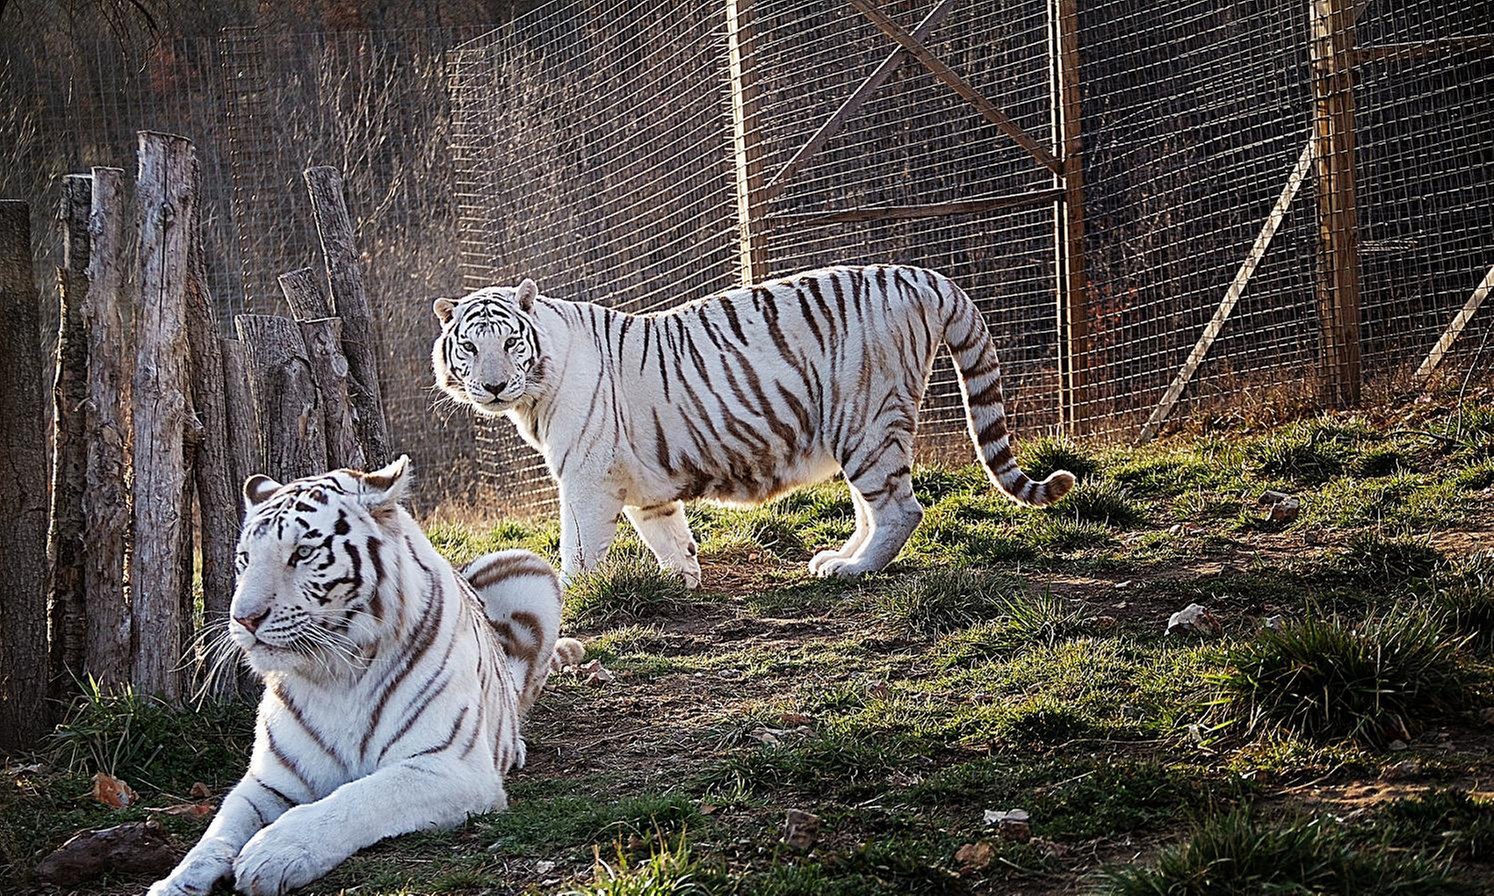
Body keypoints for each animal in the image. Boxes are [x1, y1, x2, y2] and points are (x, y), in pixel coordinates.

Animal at [149, 456, 581, 896]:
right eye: (245, 559)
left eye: (303, 552)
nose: (243, 619)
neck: (335, 674)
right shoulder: (270, 781)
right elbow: (219, 829)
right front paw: (175, 881)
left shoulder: (447, 766)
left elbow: (356, 799)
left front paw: (273, 852)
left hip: (529, 569)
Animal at [431, 264, 1074, 587]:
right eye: (470, 346)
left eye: (510, 343)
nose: (493, 386)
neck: (535, 391)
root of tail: (921, 275)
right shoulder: (643, 485)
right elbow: (667, 534)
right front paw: (684, 579)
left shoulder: (586, 479)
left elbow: (579, 549)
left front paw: (573, 595)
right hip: (859, 429)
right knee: (873, 506)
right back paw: (834, 558)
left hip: (865, 419)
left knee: (900, 508)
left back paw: (854, 570)